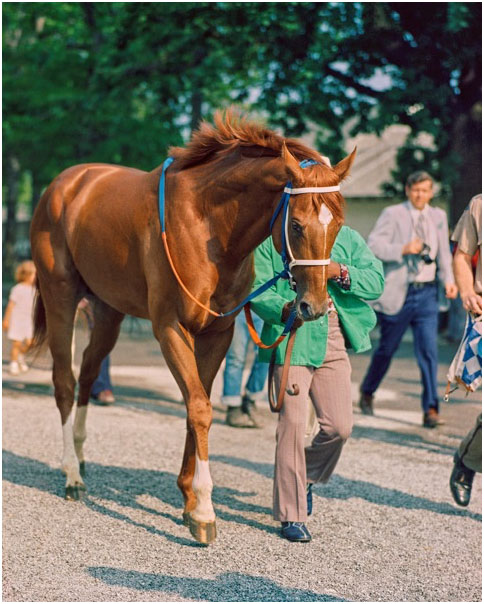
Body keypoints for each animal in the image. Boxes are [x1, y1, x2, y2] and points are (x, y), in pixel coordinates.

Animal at [30, 111, 356, 544]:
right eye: (298, 225)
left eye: (337, 224)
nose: (314, 306)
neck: (207, 225)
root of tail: (65, 184)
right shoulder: (171, 328)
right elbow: (200, 407)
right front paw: (203, 509)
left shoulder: (217, 333)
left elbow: (194, 403)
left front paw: (187, 498)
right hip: (61, 297)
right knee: (65, 382)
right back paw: (71, 475)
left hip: (108, 312)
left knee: (87, 374)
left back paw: (81, 458)